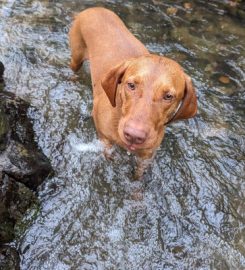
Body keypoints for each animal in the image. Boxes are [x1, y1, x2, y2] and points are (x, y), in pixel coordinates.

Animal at [69, 7, 197, 178]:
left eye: (168, 96)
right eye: (131, 85)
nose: (134, 136)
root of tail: (93, 8)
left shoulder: (147, 155)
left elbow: (138, 176)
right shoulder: (104, 137)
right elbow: (107, 152)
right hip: (76, 57)